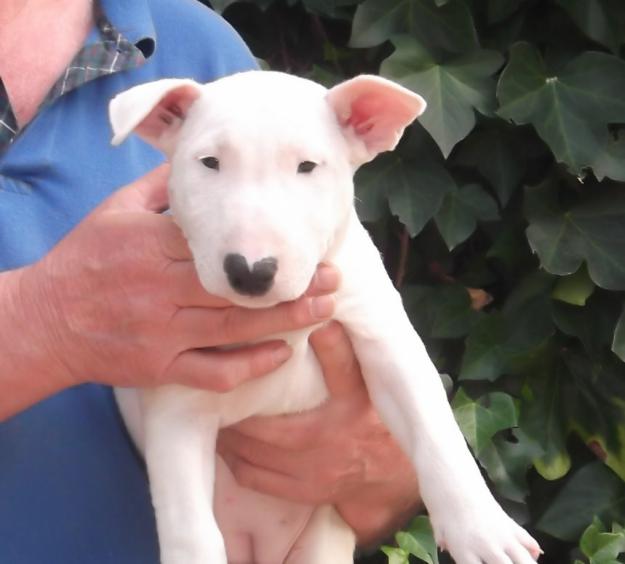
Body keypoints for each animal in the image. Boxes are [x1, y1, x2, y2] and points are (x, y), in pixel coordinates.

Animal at [109, 70, 540, 564]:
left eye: (308, 166)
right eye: (210, 163)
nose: (251, 271)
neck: (281, 322)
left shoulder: (385, 339)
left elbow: (436, 431)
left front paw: (483, 532)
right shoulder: (178, 398)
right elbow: (189, 526)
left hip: (322, 541)